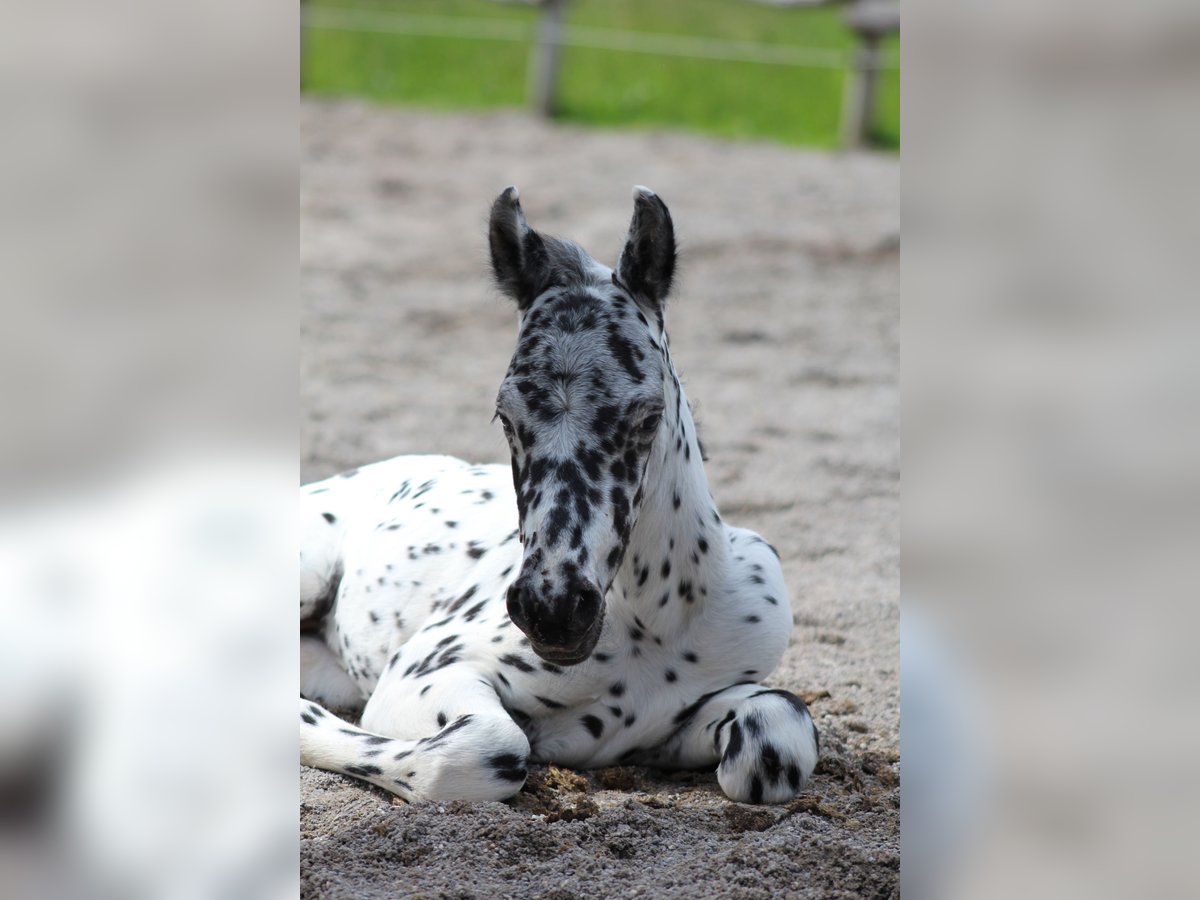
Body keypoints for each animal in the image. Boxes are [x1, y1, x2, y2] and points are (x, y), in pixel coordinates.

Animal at [304, 187, 820, 806]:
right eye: (506, 416)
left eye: (647, 416)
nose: (552, 611)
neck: (654, 625)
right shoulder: (420, 674)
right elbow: (480, 753)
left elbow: (776, 736)